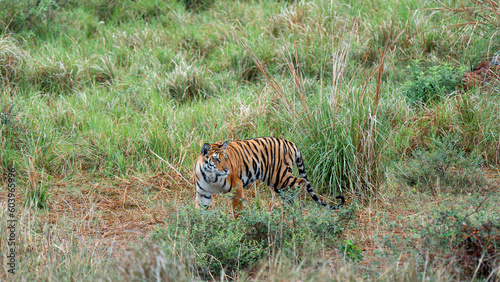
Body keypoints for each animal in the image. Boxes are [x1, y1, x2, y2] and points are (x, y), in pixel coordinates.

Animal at [193, 137, 346, 218]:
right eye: (216, 159)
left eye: (226, 158)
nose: (227, 169)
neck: (211, 176)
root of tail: (291, 143)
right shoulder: (203, 193)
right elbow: (200, 209)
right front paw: (199, 226)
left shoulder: (237, 186)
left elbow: (237, 210)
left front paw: (238, 226)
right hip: (278, 183)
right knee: (292, 191)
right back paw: (290, 211)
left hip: (279, 177)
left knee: (301, 182)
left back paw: (298, 209)